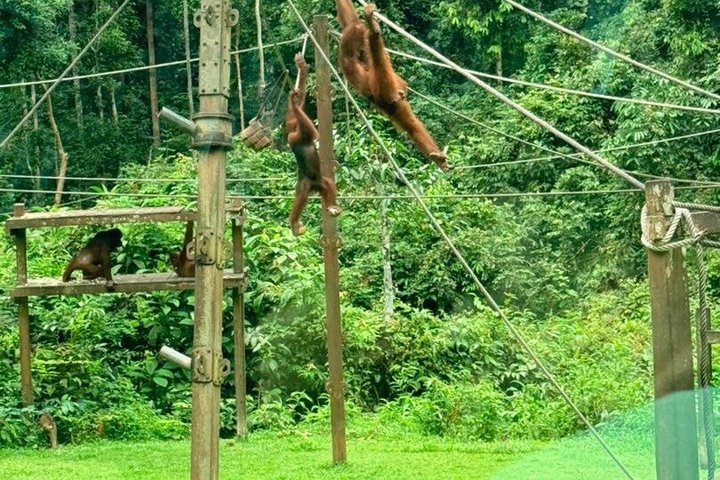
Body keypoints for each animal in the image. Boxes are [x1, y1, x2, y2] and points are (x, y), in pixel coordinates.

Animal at [286, 52, 341, 236]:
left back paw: (331, 206)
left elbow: (296, 114)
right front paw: (294, 100)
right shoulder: (297, 135)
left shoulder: (296, 133)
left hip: (319, 181)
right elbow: (301, 122)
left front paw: (302, 69)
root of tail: (314, 187)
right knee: (302, 196)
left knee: (328, 184)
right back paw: (294, 224)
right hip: (306, 183)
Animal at [337, 0, 450, 171]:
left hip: (392, 103)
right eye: (360, 39)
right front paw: (371, 28)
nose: (363, 41)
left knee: (411, 125)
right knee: (379, 61)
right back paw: (374, 30)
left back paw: (437, 158)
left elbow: (349, 18)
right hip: (386, 90)